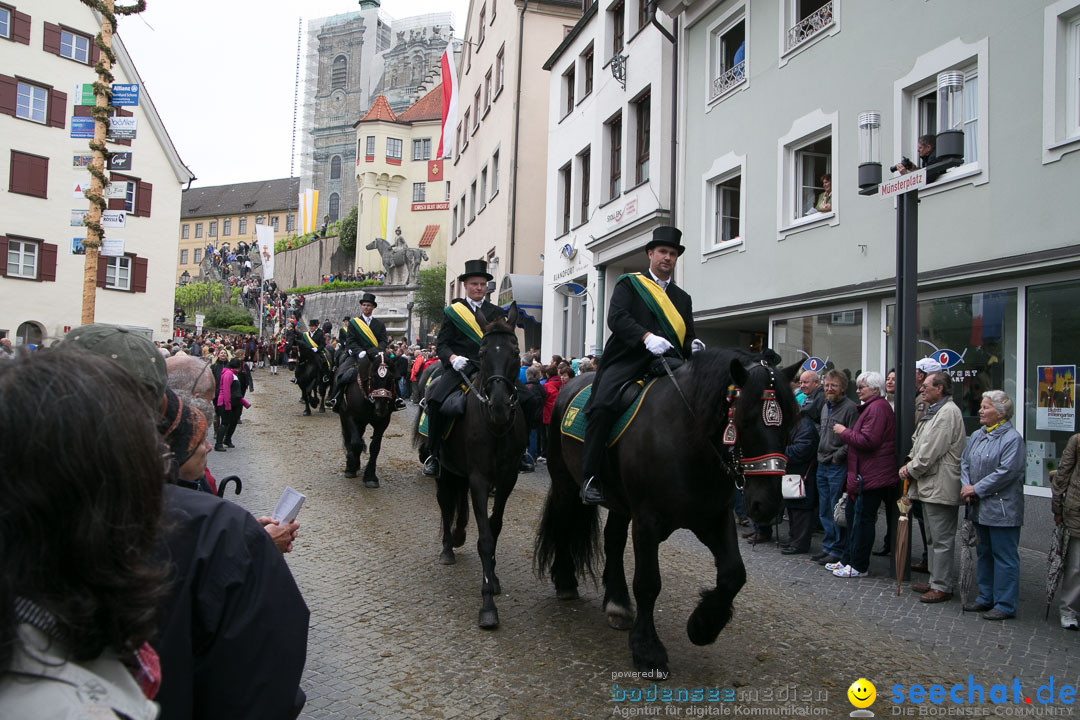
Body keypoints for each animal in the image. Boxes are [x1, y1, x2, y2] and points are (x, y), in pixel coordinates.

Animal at [336, 351, 397, 487]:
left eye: (391, 378)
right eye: (373, 378)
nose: (381, 409)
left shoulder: (383, 422)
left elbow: (374, 447)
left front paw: (370, 477)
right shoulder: (351, 417)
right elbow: (356, 443)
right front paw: (351, 466)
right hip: (345, 418)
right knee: (349, 439)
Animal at [412, 304, 527, 630]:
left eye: (515, 351)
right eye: (484, 351)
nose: (499, 406)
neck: (495, 427)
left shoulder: (507, 479)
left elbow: (495, 526)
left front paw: (494, 577)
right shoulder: (479, 479)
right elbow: (485, 538)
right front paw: (488, 605)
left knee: (458, 504)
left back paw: (460, 533)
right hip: (444, 470)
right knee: (445, 504)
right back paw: (448, 548)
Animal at [533, 349, 799, 682]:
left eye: (790, 423)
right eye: (746, 420)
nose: (769, 506)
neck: (689, 440)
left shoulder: (713, 517)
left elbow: (733, 574)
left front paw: (703, 625)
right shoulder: (648, 521)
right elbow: (648, 583)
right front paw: (648, 650)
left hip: (620, 503)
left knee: (613, 541)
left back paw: (617, 602)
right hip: (566, 484)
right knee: (564, 524)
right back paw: (566, 580)